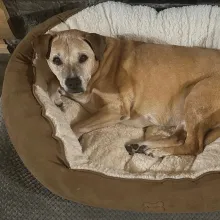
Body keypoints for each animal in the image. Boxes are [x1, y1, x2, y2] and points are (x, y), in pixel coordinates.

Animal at [33, 29, 220, 157]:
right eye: (56, 60)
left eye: (83, 57)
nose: (72, 82)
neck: (99, 64)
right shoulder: (83, 94)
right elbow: (53, 81)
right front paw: (56, 95)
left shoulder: (115, 109)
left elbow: (77, 125)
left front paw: (73, 140)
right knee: (180, 137)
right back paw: (142, 146)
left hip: (197, 95)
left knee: (194, 146)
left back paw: (158, 152)